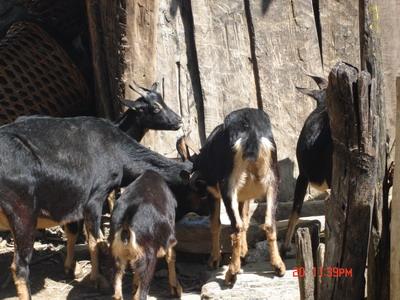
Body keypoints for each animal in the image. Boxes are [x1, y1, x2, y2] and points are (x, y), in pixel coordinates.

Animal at [111, 171, 183, 300]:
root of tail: (127, 220)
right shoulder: (168, 239)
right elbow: (171, 256)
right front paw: (176, 289)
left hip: (117, 254)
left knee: (118, 293)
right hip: (148, 258)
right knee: (141, 294)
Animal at [187, 108, 284, 286]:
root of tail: (250, 130)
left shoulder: (213, 193)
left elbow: (215, 224)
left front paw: (214, 260)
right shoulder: (244, 196)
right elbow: (245, 219)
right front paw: (244, 252)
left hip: (228, 186)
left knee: (236, 227)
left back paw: (231, 273)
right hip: (273, 182)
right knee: (268, 223)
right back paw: (278, 266)